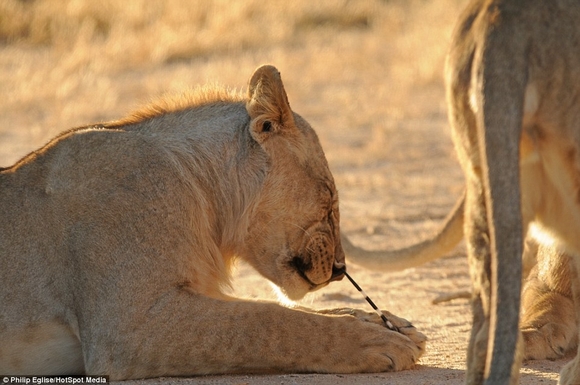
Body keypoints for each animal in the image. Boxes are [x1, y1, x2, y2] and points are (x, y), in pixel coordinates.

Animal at [0, 65, 426, 378]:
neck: (202, 197)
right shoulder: (125, 329)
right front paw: (380, 340)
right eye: (330, 199)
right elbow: (270, 321)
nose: (340, 269)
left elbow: (285, 311)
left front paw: (384, 321)